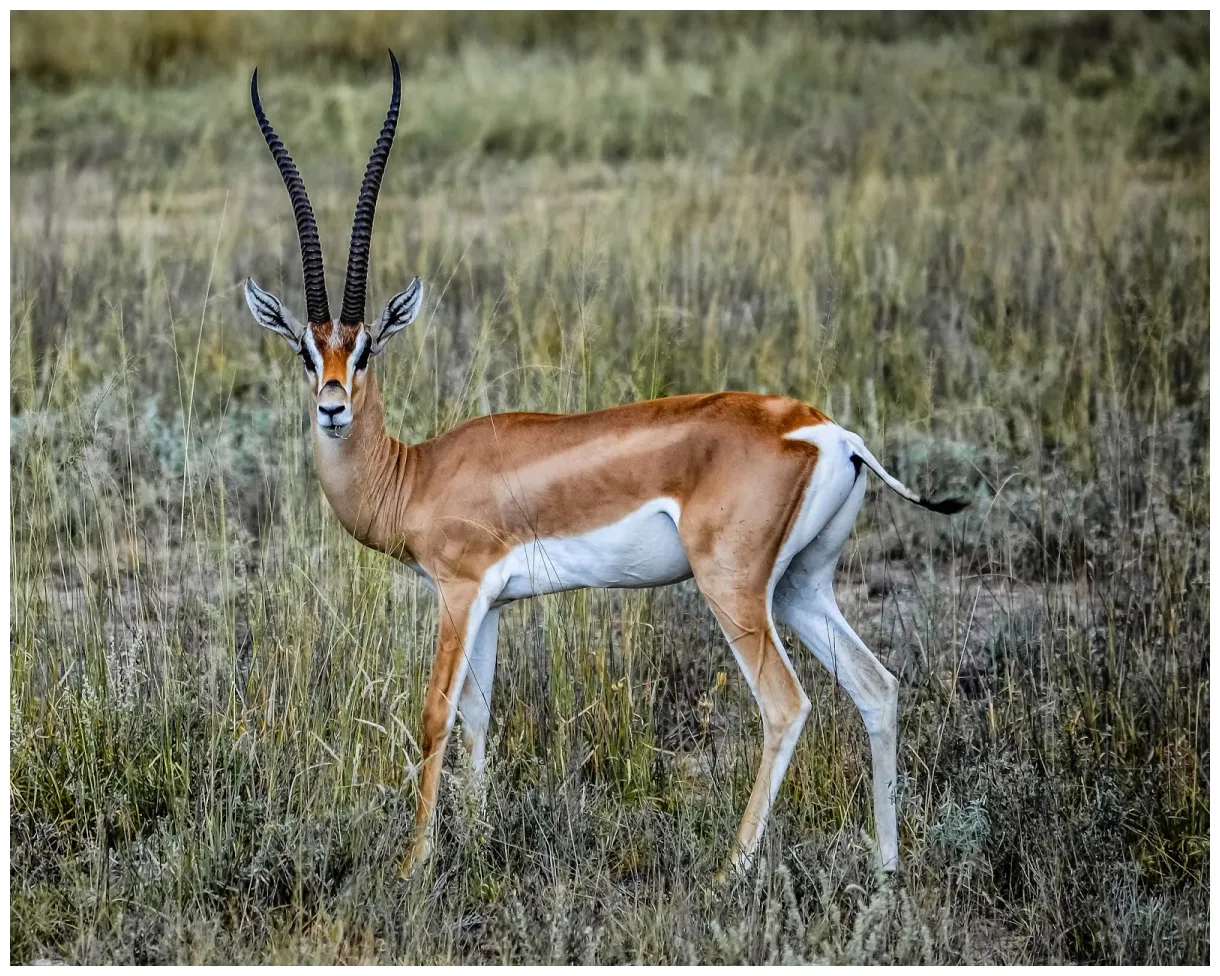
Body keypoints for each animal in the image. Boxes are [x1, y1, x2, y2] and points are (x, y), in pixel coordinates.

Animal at [245, 51, 967, 879]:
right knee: (878, 688)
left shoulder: (458, 592)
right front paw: (482, 846)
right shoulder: (494, 605)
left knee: (787, 706)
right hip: (801, 588)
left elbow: (434, 715)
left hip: (735, 590)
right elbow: (478, 719)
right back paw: (885, 871)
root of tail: (829, 434)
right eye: (306, 351)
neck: (418, 473)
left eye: (365, 349)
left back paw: (731, 870)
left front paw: (414, 865)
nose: (332, 407)